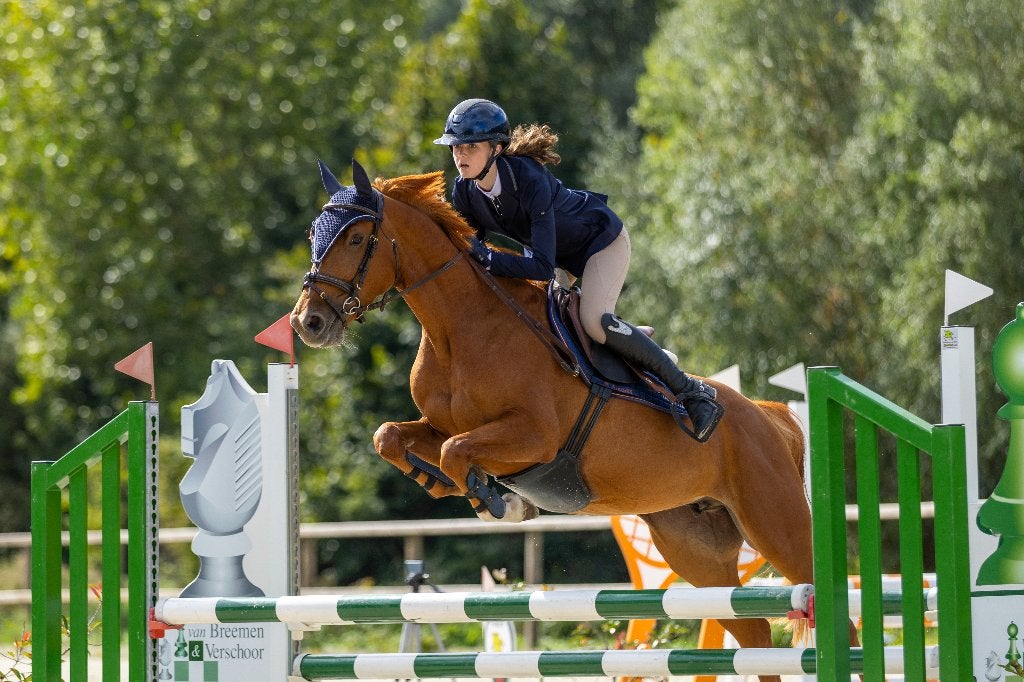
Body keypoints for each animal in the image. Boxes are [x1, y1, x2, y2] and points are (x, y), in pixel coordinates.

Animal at [290, 159, 836, 679]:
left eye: (356, 238)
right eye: (314, 234)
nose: (307, 323)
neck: (459, 330)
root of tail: (769, 416)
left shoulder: (534, 438)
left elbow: (455, 451)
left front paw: (499, 501)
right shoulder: (440, 425)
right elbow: (392, 437)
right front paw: (447, 485)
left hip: (777, 524)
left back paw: (700, 406)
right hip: (695, 550)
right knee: (756, 636)